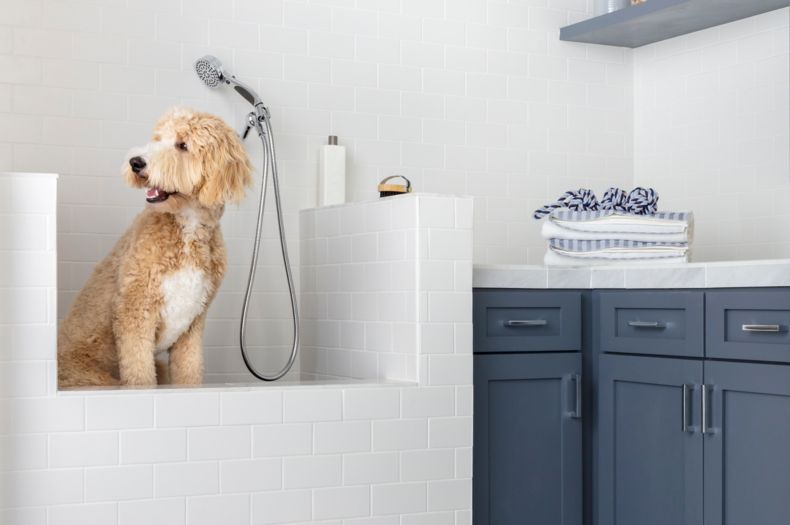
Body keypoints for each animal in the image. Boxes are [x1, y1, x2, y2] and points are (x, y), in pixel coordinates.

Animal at [57, 106, 252, 386]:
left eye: (183, 145)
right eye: (158, 139)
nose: (136, 162)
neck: (187, 228)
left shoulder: (193, 323)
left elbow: (190, 370)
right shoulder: (135, 312)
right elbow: (140, 373)